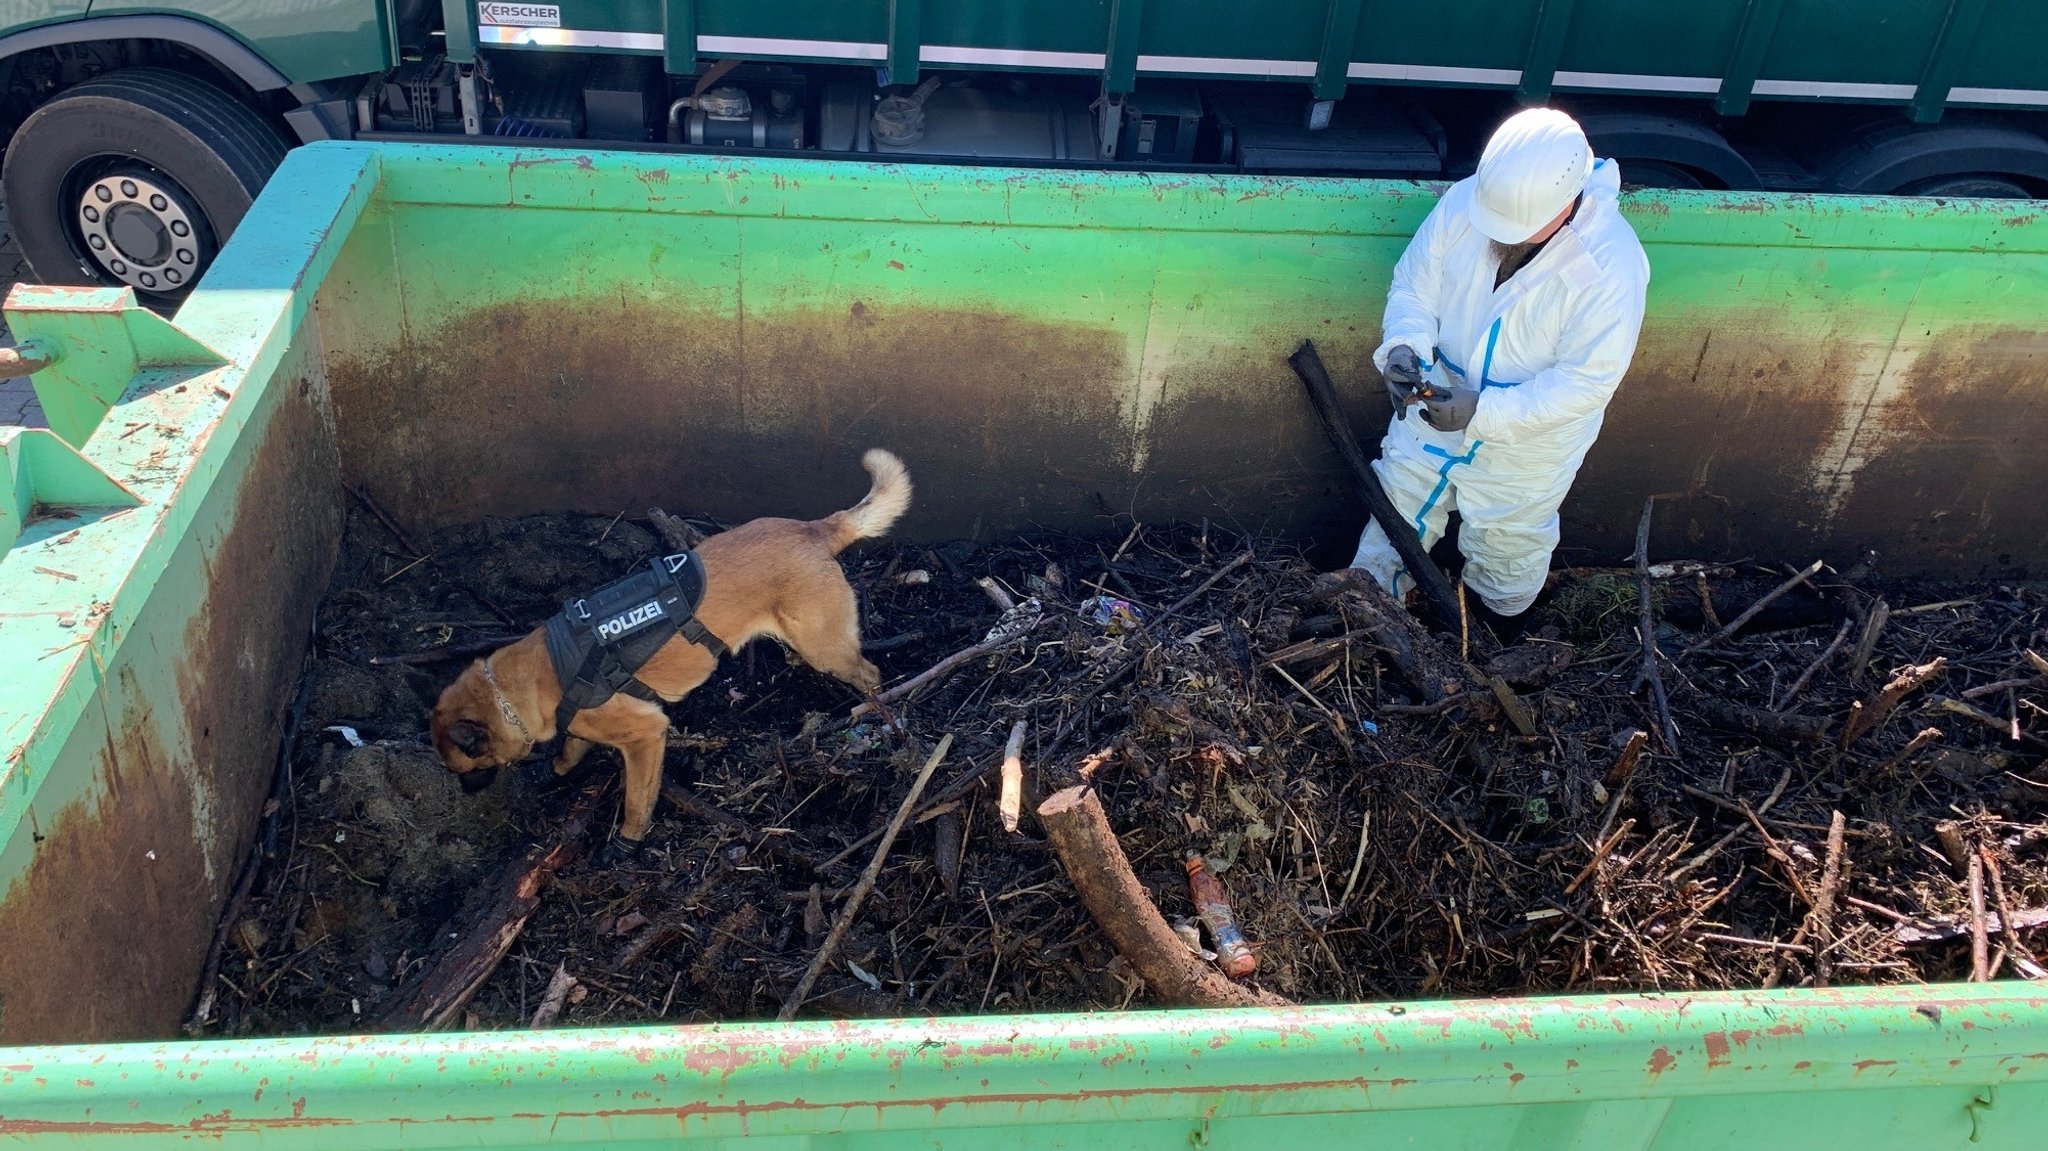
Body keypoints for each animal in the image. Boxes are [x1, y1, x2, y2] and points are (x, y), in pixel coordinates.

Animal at [428, 448, 909, 851]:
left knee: (869, 674)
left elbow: (637, 800)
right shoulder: (584, 726)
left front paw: (627, 842)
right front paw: (555, 772)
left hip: (828, 650)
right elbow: (570, 750)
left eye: (462, 768)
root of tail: (815, 529)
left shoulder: (646, 735)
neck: (518, 688)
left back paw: (879, 714)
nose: (464, 793)